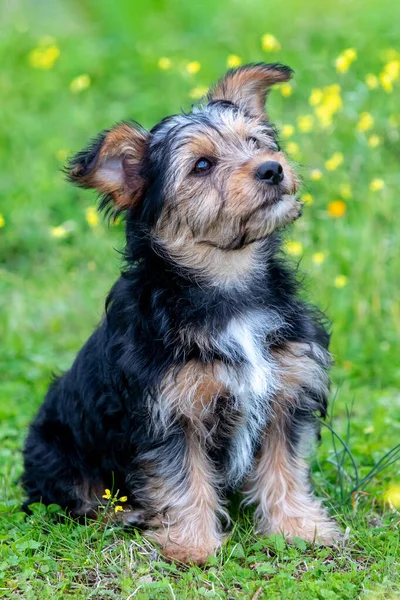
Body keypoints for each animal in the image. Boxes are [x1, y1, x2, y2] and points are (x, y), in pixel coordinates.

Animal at [21, 64, 340, 564]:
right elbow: (183, 479)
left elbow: (284, 468)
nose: (272, 168)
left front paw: (298, 528)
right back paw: (126, 515)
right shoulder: (170, 413)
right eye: (202, 166)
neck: (229, 286)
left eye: (256, 142)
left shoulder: (287, 392)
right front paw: (192, 546)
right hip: (54, 450)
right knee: (76, 499)